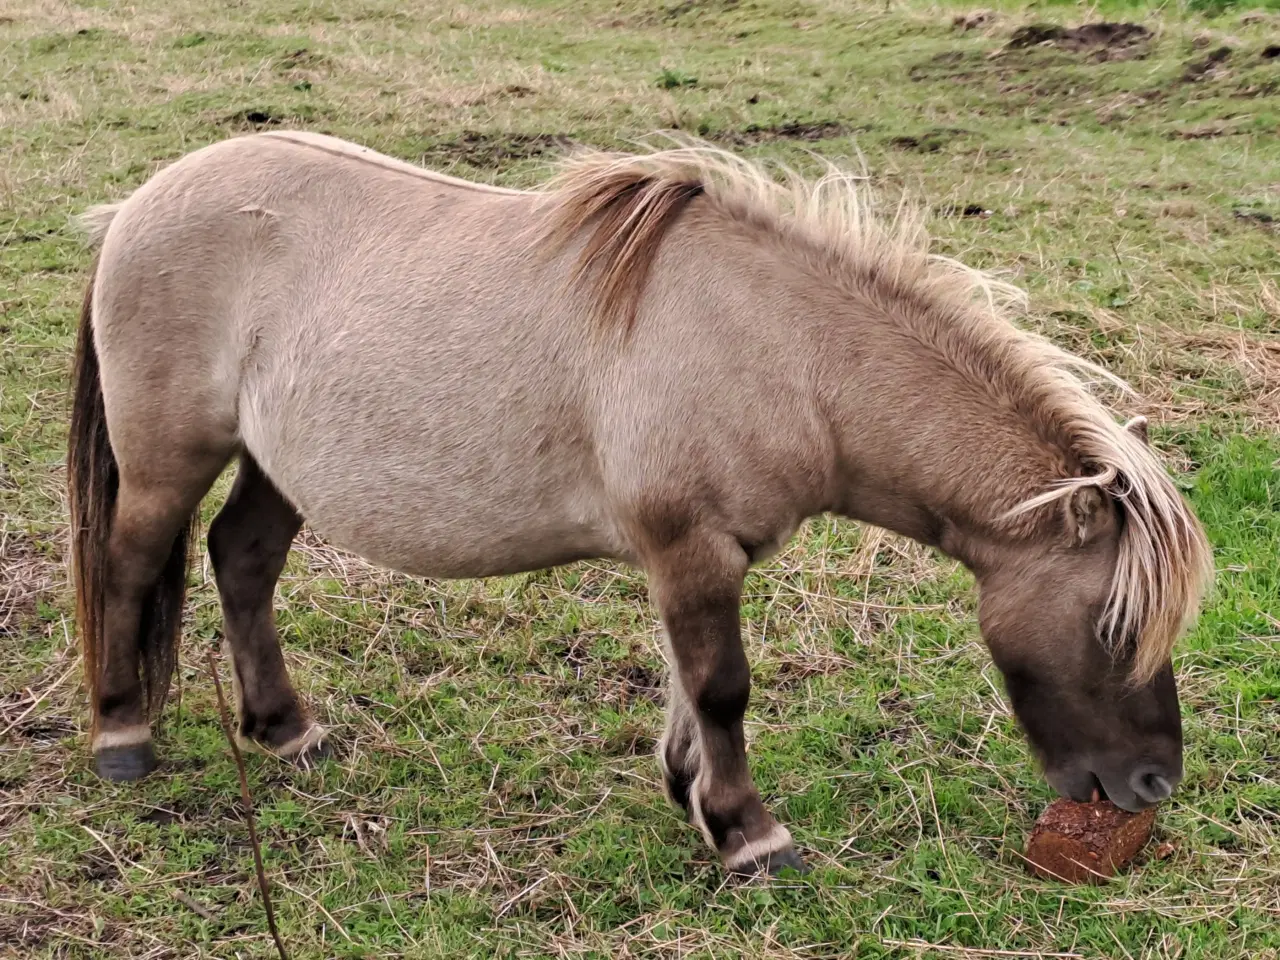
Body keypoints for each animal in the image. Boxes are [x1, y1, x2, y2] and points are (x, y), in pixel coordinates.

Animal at [67, 133, 1208, 880]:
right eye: (1111, 628)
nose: (1153, 785)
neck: (783, 354)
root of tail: (137, 206)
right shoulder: (689, 547)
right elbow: (722, 687)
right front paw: (748, 835)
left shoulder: (691, 555)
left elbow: (685, 683)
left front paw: (688, 791)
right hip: (169, 459)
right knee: (132, 564)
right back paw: (122, 738)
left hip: (275, 465)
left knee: (242, 558)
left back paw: (287, 731)